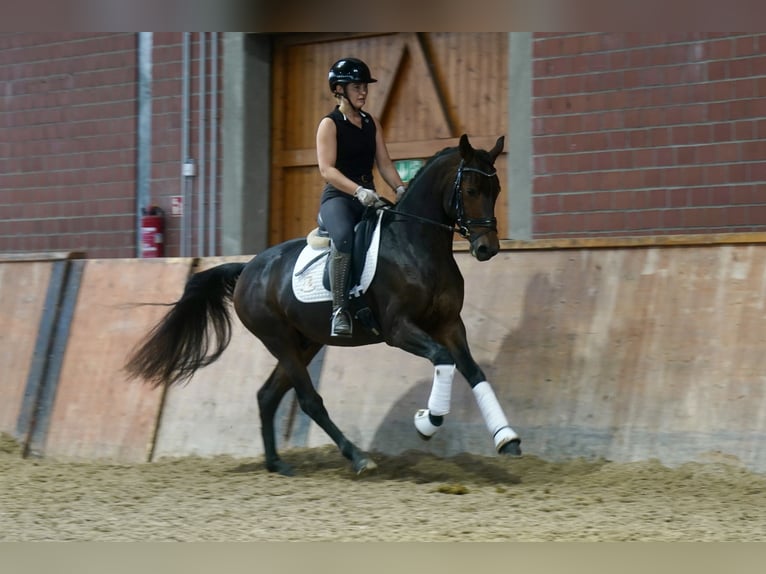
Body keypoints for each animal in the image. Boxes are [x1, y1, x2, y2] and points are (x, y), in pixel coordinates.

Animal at [125, 133, 522, 476]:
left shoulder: (450, 324)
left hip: (306, 342)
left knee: (268, 395)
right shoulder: (399, 330)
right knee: (308, 400)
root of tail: (249, 267)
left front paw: (507, 438)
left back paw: (277, 463)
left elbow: (474, 372)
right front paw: (428, 421)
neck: (416, 245)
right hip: (279, 339)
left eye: (497, 189)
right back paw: (357, 457)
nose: (487, 248)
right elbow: (442, 360)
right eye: (470, 190)